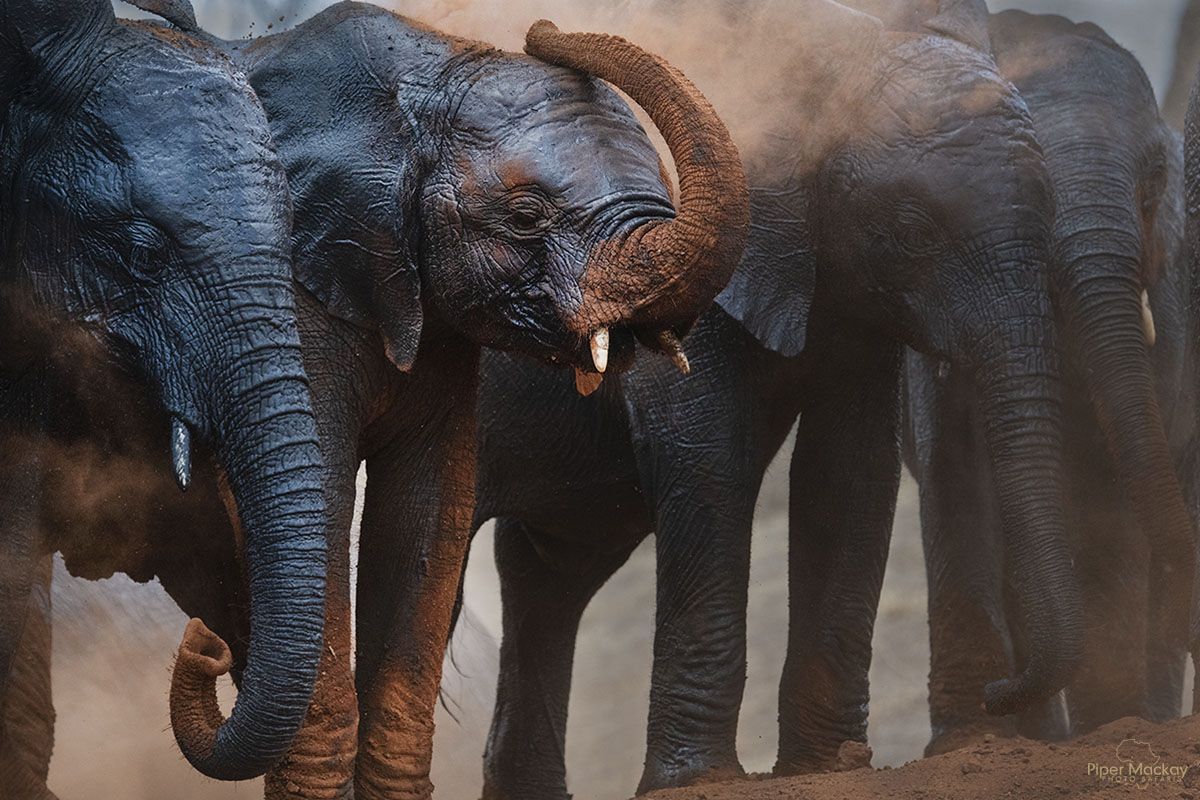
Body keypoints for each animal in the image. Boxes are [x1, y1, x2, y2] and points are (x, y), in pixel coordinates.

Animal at [7, 3, 748, 796]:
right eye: (526, 217)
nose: (543, 29)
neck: (425, 78)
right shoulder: (298, 296)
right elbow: (330, 495)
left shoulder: (433, 325)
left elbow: (427, 511)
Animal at [470, 3, 1089, 796]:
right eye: (913, 233)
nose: (998, 694)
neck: (825, 41)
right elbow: (709, 464)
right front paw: (697, 780)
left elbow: (850, 472)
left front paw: (827, 765)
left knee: (548, 576)